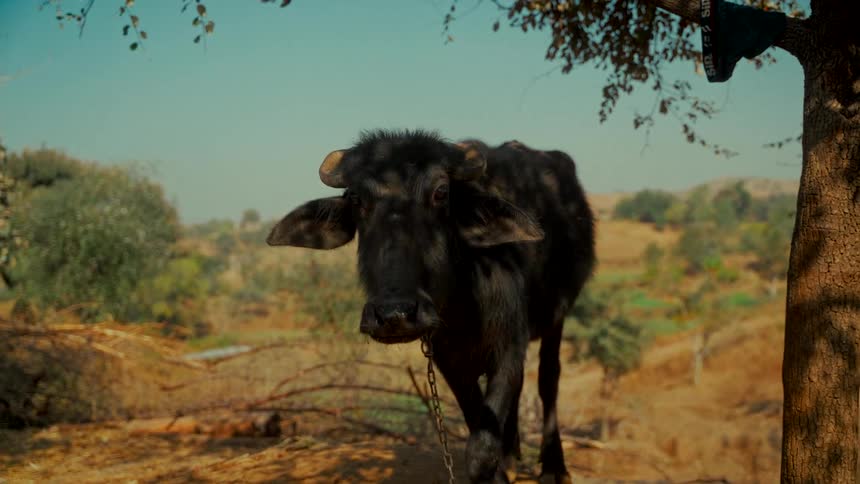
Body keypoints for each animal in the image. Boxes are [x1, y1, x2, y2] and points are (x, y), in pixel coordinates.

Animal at [266, 129, 596, 484]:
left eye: (440, 193)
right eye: (356, 200)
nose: (394, 314)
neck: (465, 301)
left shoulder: (509, 345)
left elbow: (481, 450)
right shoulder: (449, 360)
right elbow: (479, 428)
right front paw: (501, 466)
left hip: (557, 316)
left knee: (548, 379)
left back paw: (553, 467)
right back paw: (511, 454)